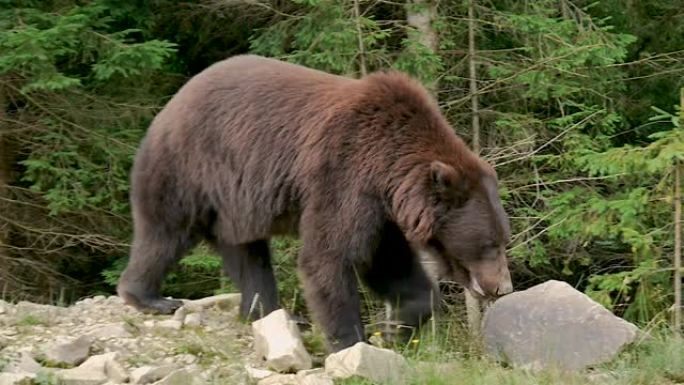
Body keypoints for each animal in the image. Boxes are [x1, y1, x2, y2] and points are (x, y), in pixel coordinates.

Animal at [119, 54, 512, 352]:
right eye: (490, 244)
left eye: (502, 240)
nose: (503, 287)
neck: (388, 168)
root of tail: (172, 102)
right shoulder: (343, 174)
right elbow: (329, 256)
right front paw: (351, 340)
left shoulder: (380, 213)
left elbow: (387, 262)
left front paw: (398, 326)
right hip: (188, 168)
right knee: (165, 231)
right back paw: (150, 297)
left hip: (235, 205)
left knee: (248, 256)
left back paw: (264, 312)